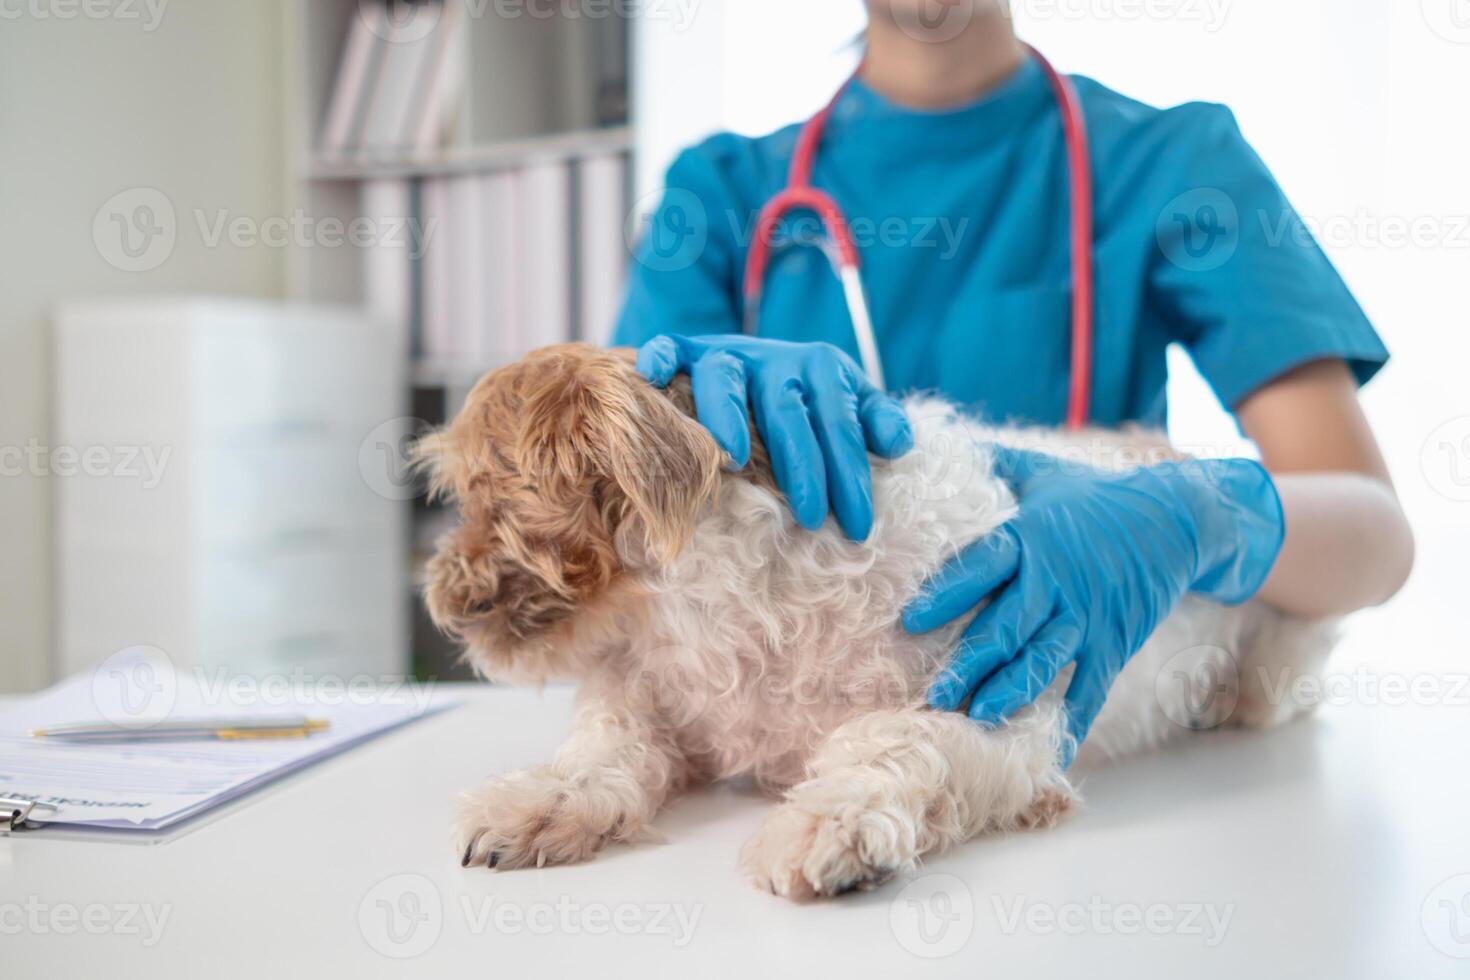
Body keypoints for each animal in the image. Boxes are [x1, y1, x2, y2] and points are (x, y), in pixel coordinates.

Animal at [417, 340, 1334, 899]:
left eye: (484, 494)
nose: (439, 596)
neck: (728, 604)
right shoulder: (655, 696)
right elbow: (607, 746)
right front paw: (543, 799)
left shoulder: (1004, 714)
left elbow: (895, 739)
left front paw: (830, 821)